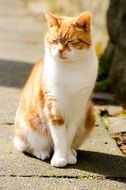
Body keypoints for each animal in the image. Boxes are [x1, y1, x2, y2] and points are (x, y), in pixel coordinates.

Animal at [14, 11, 98, 167]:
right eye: (55, 41)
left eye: (70, 42)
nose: (60, 50)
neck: (71, 69)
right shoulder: (53, 108)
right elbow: (60, 138)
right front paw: (60, 158)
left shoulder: (79, 108)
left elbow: (68, 137)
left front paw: (67, 155)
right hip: (28, 126)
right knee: (28, 146)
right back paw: (42, 152)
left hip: (89, 115)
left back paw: (72, 151)